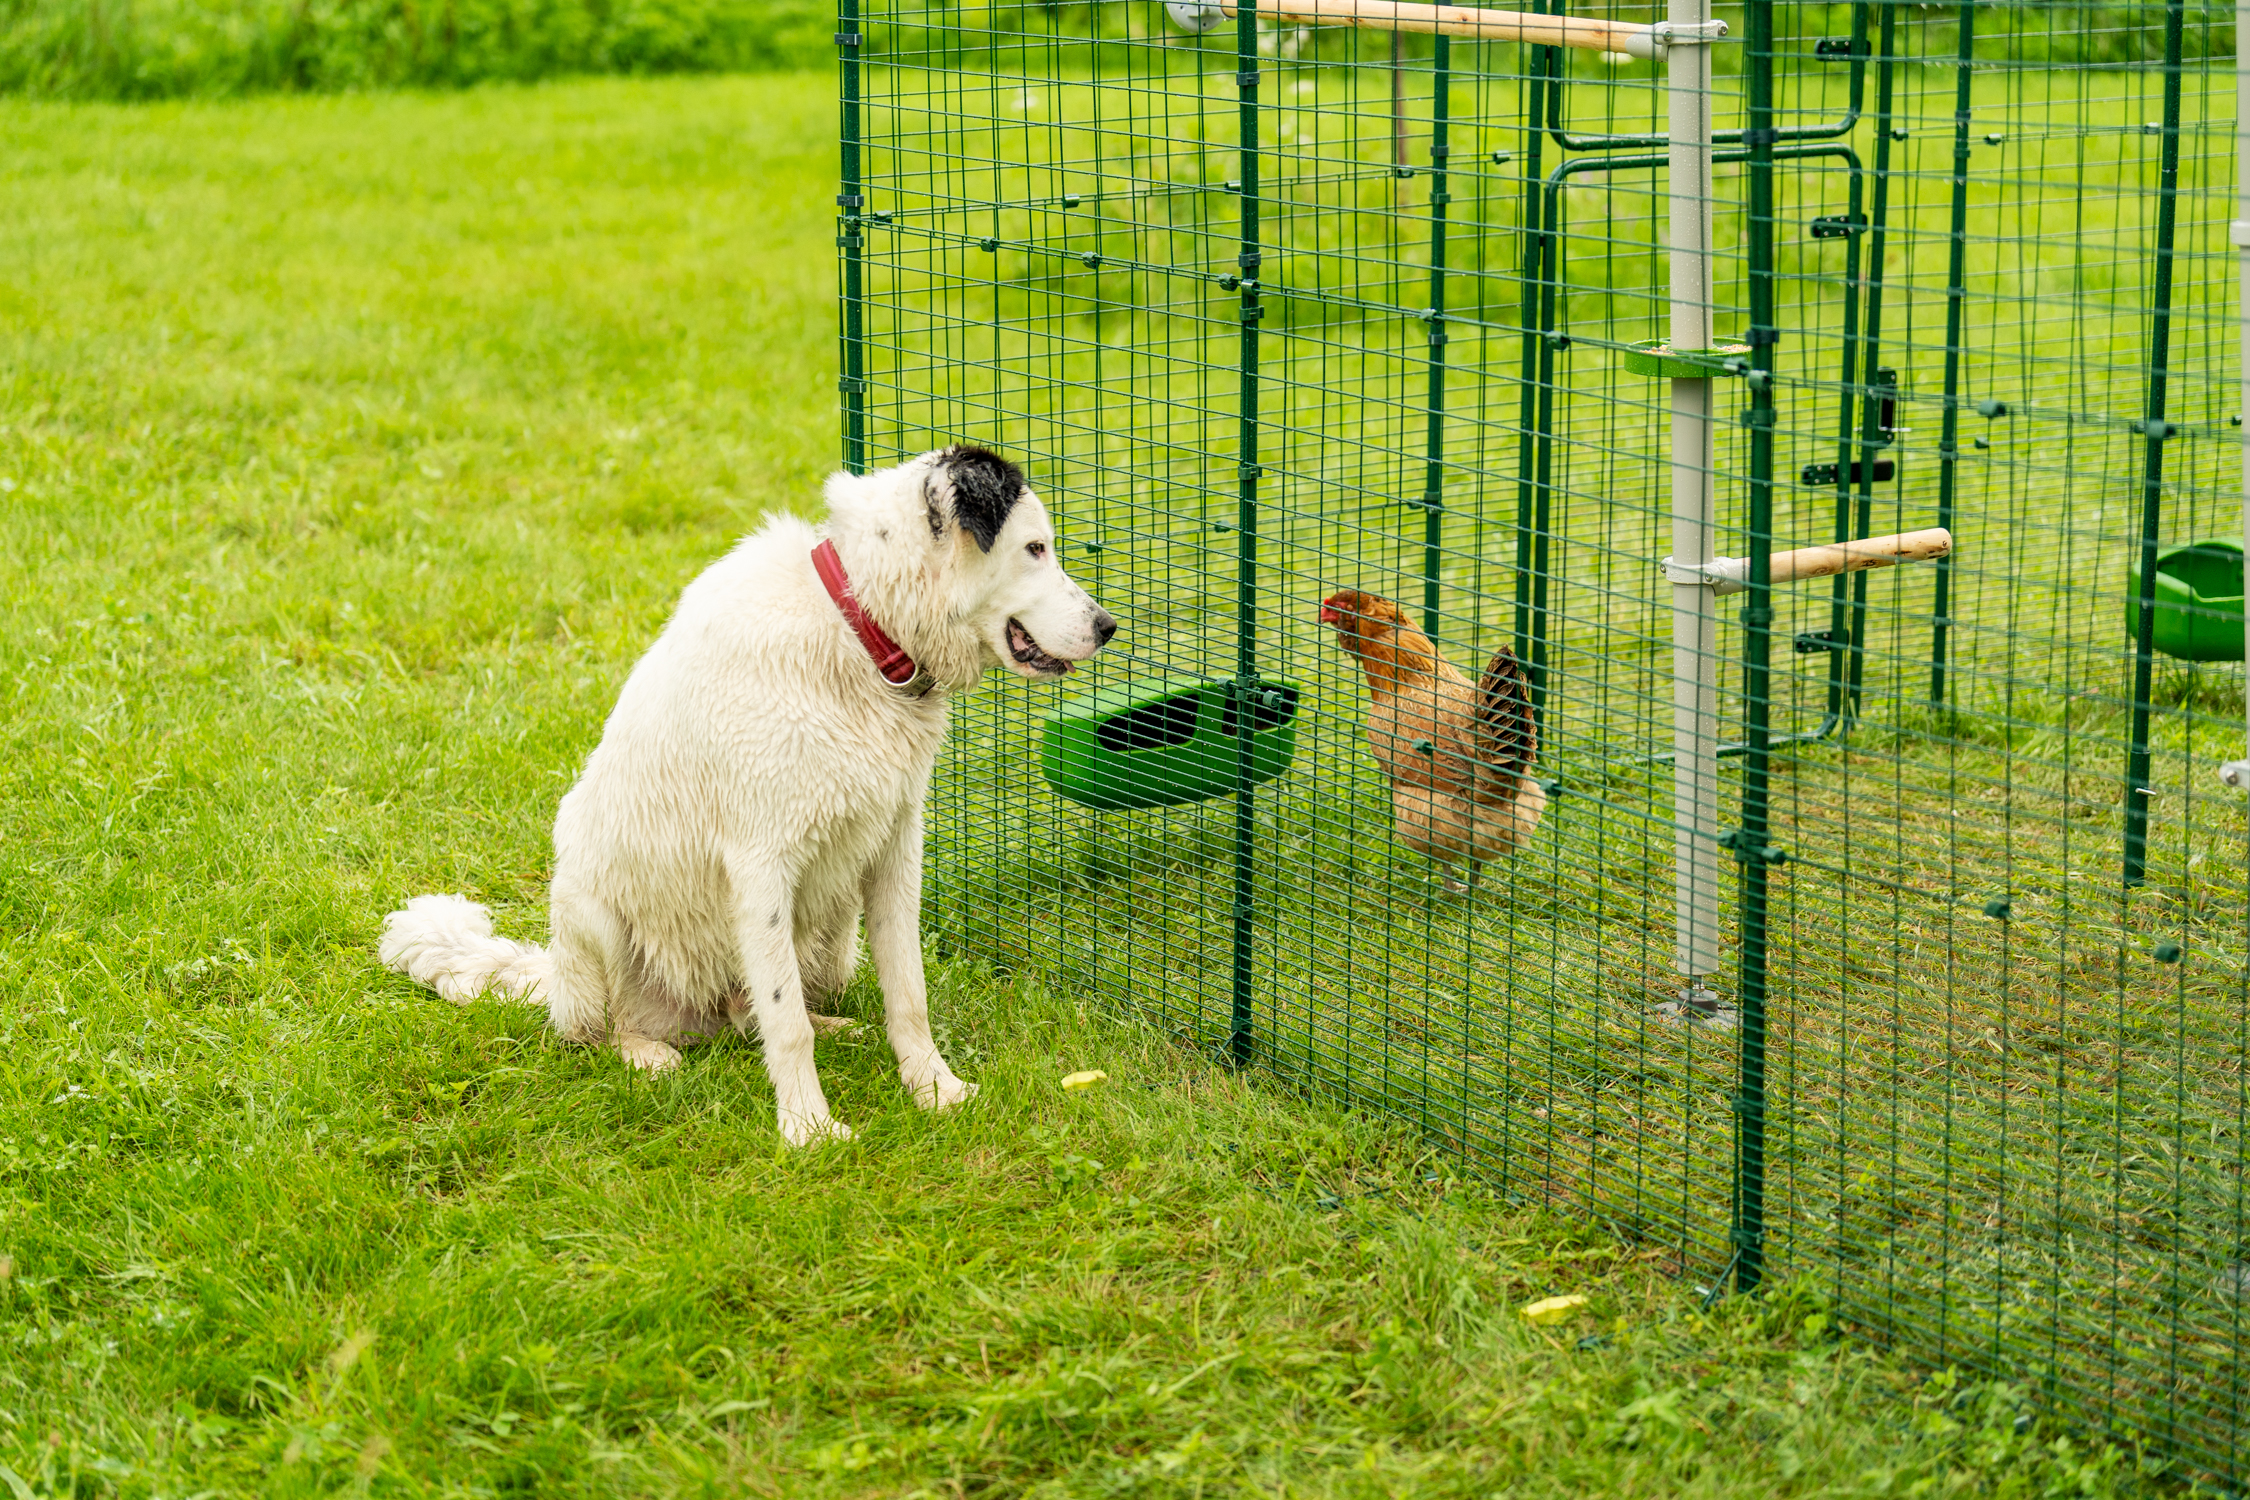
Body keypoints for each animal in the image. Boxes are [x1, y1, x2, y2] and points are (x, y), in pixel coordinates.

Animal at [391, 452, 1120, 1142]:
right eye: (1034, 548)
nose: (1108, 625)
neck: (860, 628)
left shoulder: (894, 849)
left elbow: (905, 993)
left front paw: (934, 1090)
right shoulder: (761, 863)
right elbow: (785, 1021)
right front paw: (808, 1131)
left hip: (835, 936)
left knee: (757, 1012)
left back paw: (832, 1026)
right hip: (590, 908)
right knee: (613, 1025)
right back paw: (647, 1054)